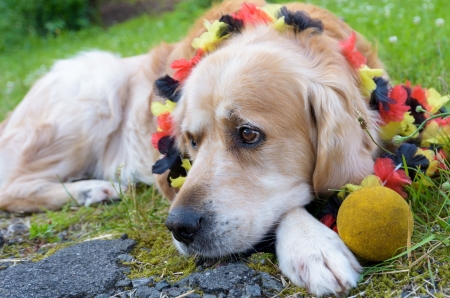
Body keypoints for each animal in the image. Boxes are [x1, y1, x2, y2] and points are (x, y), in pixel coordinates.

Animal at [0, 0, 386, 294]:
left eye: (248, 134)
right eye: (192, 141)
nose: (178, 227)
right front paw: (313, 245)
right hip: (97, 83)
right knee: (11, 188)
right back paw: (90, 191)